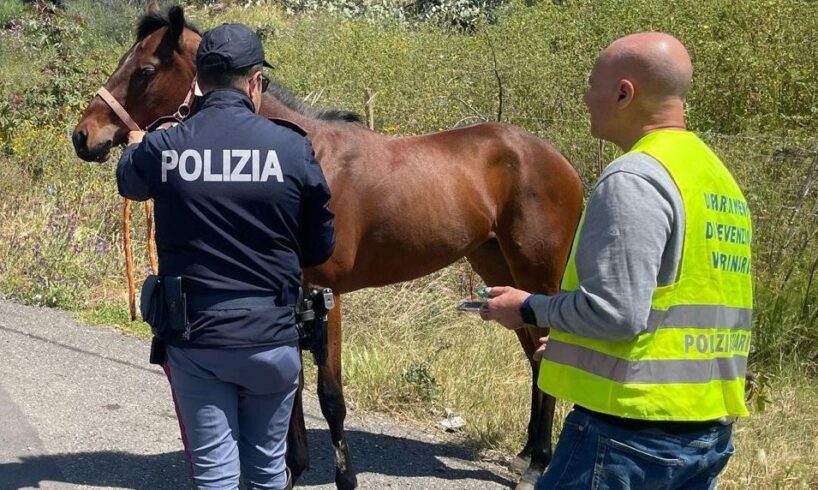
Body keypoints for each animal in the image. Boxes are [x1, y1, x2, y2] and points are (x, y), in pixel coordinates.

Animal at [71, 5, 583, 490]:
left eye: (145, 70)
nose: (83, 135)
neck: (298, 154)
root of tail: (557, 159)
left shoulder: (325, 294)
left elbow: (329, 396)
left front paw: (343, 477)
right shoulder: (287, 297)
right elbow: (289, 385)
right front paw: (291, 469)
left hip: (535, 274)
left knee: (546, 353)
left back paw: (539, 463)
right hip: (498, 271)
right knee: (533, 354)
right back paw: (527, 453)